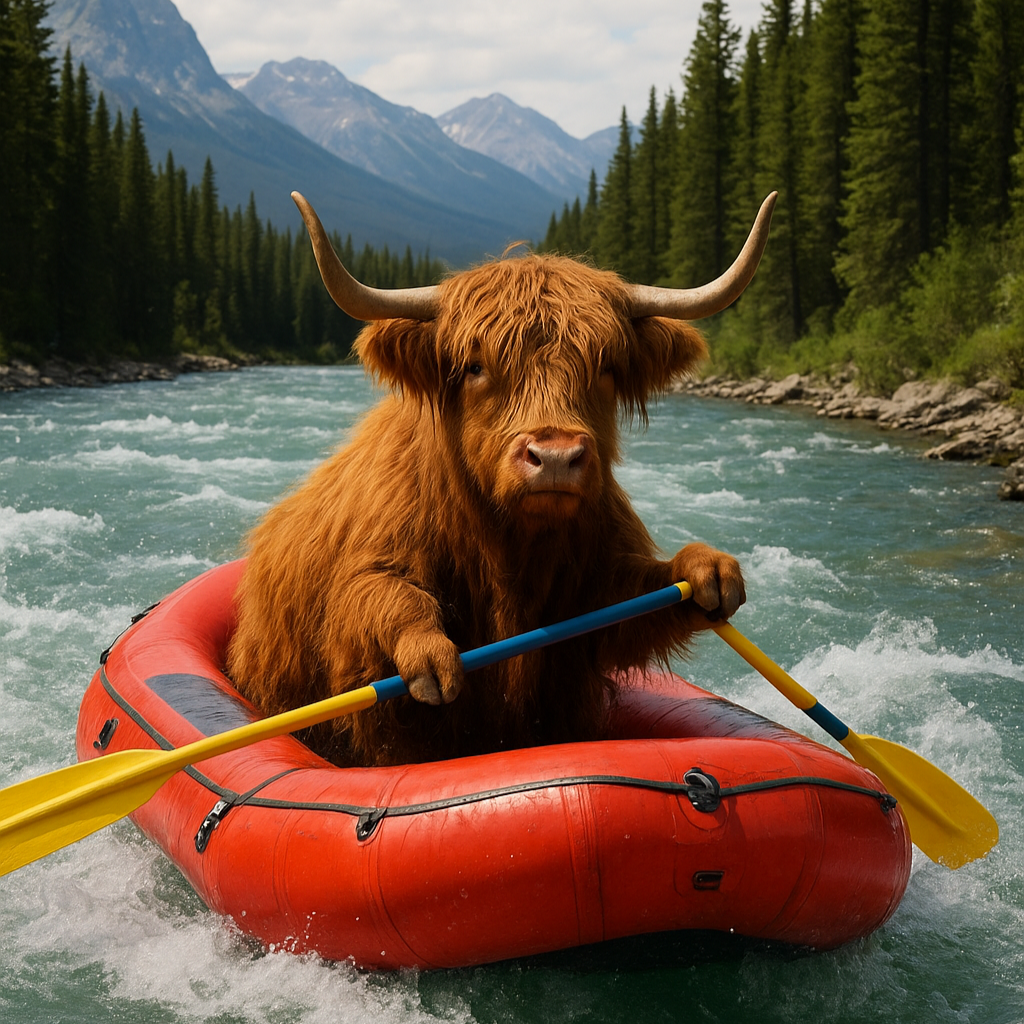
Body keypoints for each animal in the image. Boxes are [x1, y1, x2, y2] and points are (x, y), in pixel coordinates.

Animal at [226, 191, 777, 767]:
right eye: (475, 366)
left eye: (605, 367)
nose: (555, 456)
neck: (513, 548)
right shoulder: (372, 567)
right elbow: (381, 594)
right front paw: (431, 655)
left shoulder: (592, 604)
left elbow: (637, 598)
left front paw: (710, 570)